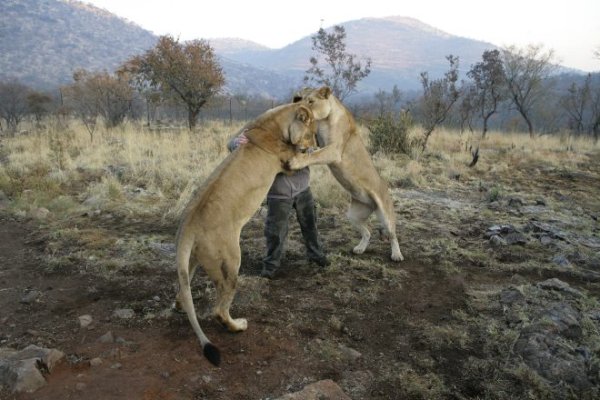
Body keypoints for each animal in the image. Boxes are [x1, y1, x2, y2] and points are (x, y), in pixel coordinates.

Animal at [173, 103, 316, 366]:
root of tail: (188, 227)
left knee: (182, 290)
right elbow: (293, 158)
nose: (310, 146)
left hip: (192, 263)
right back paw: (238, 326)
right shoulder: (287, 163)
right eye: (310, 133)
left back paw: (180, 305)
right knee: (219, 310)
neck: (273, 123)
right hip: (230, 262)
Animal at [290, 86, 406, 262]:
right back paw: (360, 249)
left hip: (385, 213)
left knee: (393, 235)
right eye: (300, 99)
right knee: (368, 232)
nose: (298, 109)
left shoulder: (334, 150)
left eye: (310, 101)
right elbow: (314, 149)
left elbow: (315, 156)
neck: (324, 120)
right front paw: (307, 149)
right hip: (354, 215)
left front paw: (297, 160)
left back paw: (397, 254)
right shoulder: (322, 144)